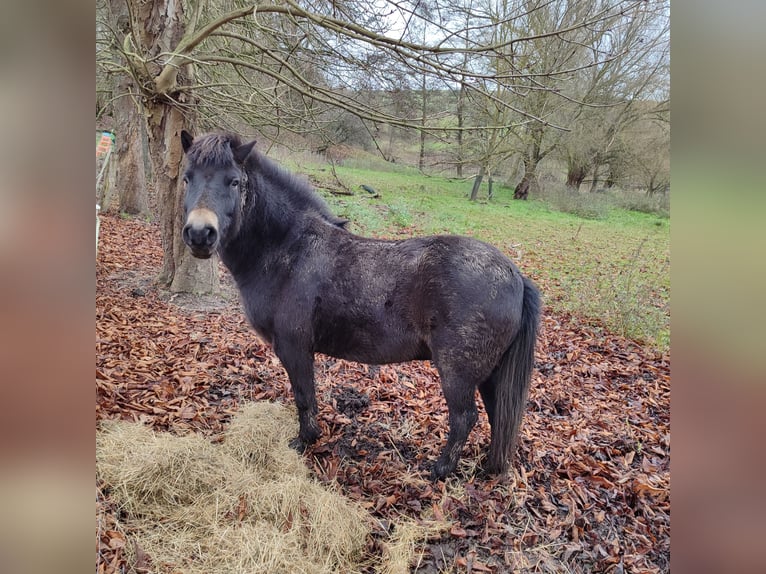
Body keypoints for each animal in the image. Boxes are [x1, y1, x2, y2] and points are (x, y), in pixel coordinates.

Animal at [181, 132, 544, 482]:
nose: (200, 234)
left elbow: (304, 397)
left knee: (464, 418)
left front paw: (305, 441)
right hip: (490, 374)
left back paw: (440, 470)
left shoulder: (294, 348)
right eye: (187, 177)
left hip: (458, 372)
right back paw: (488, 467)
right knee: (498, 415)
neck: (289, 249)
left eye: (234, 181)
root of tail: (515, 275)